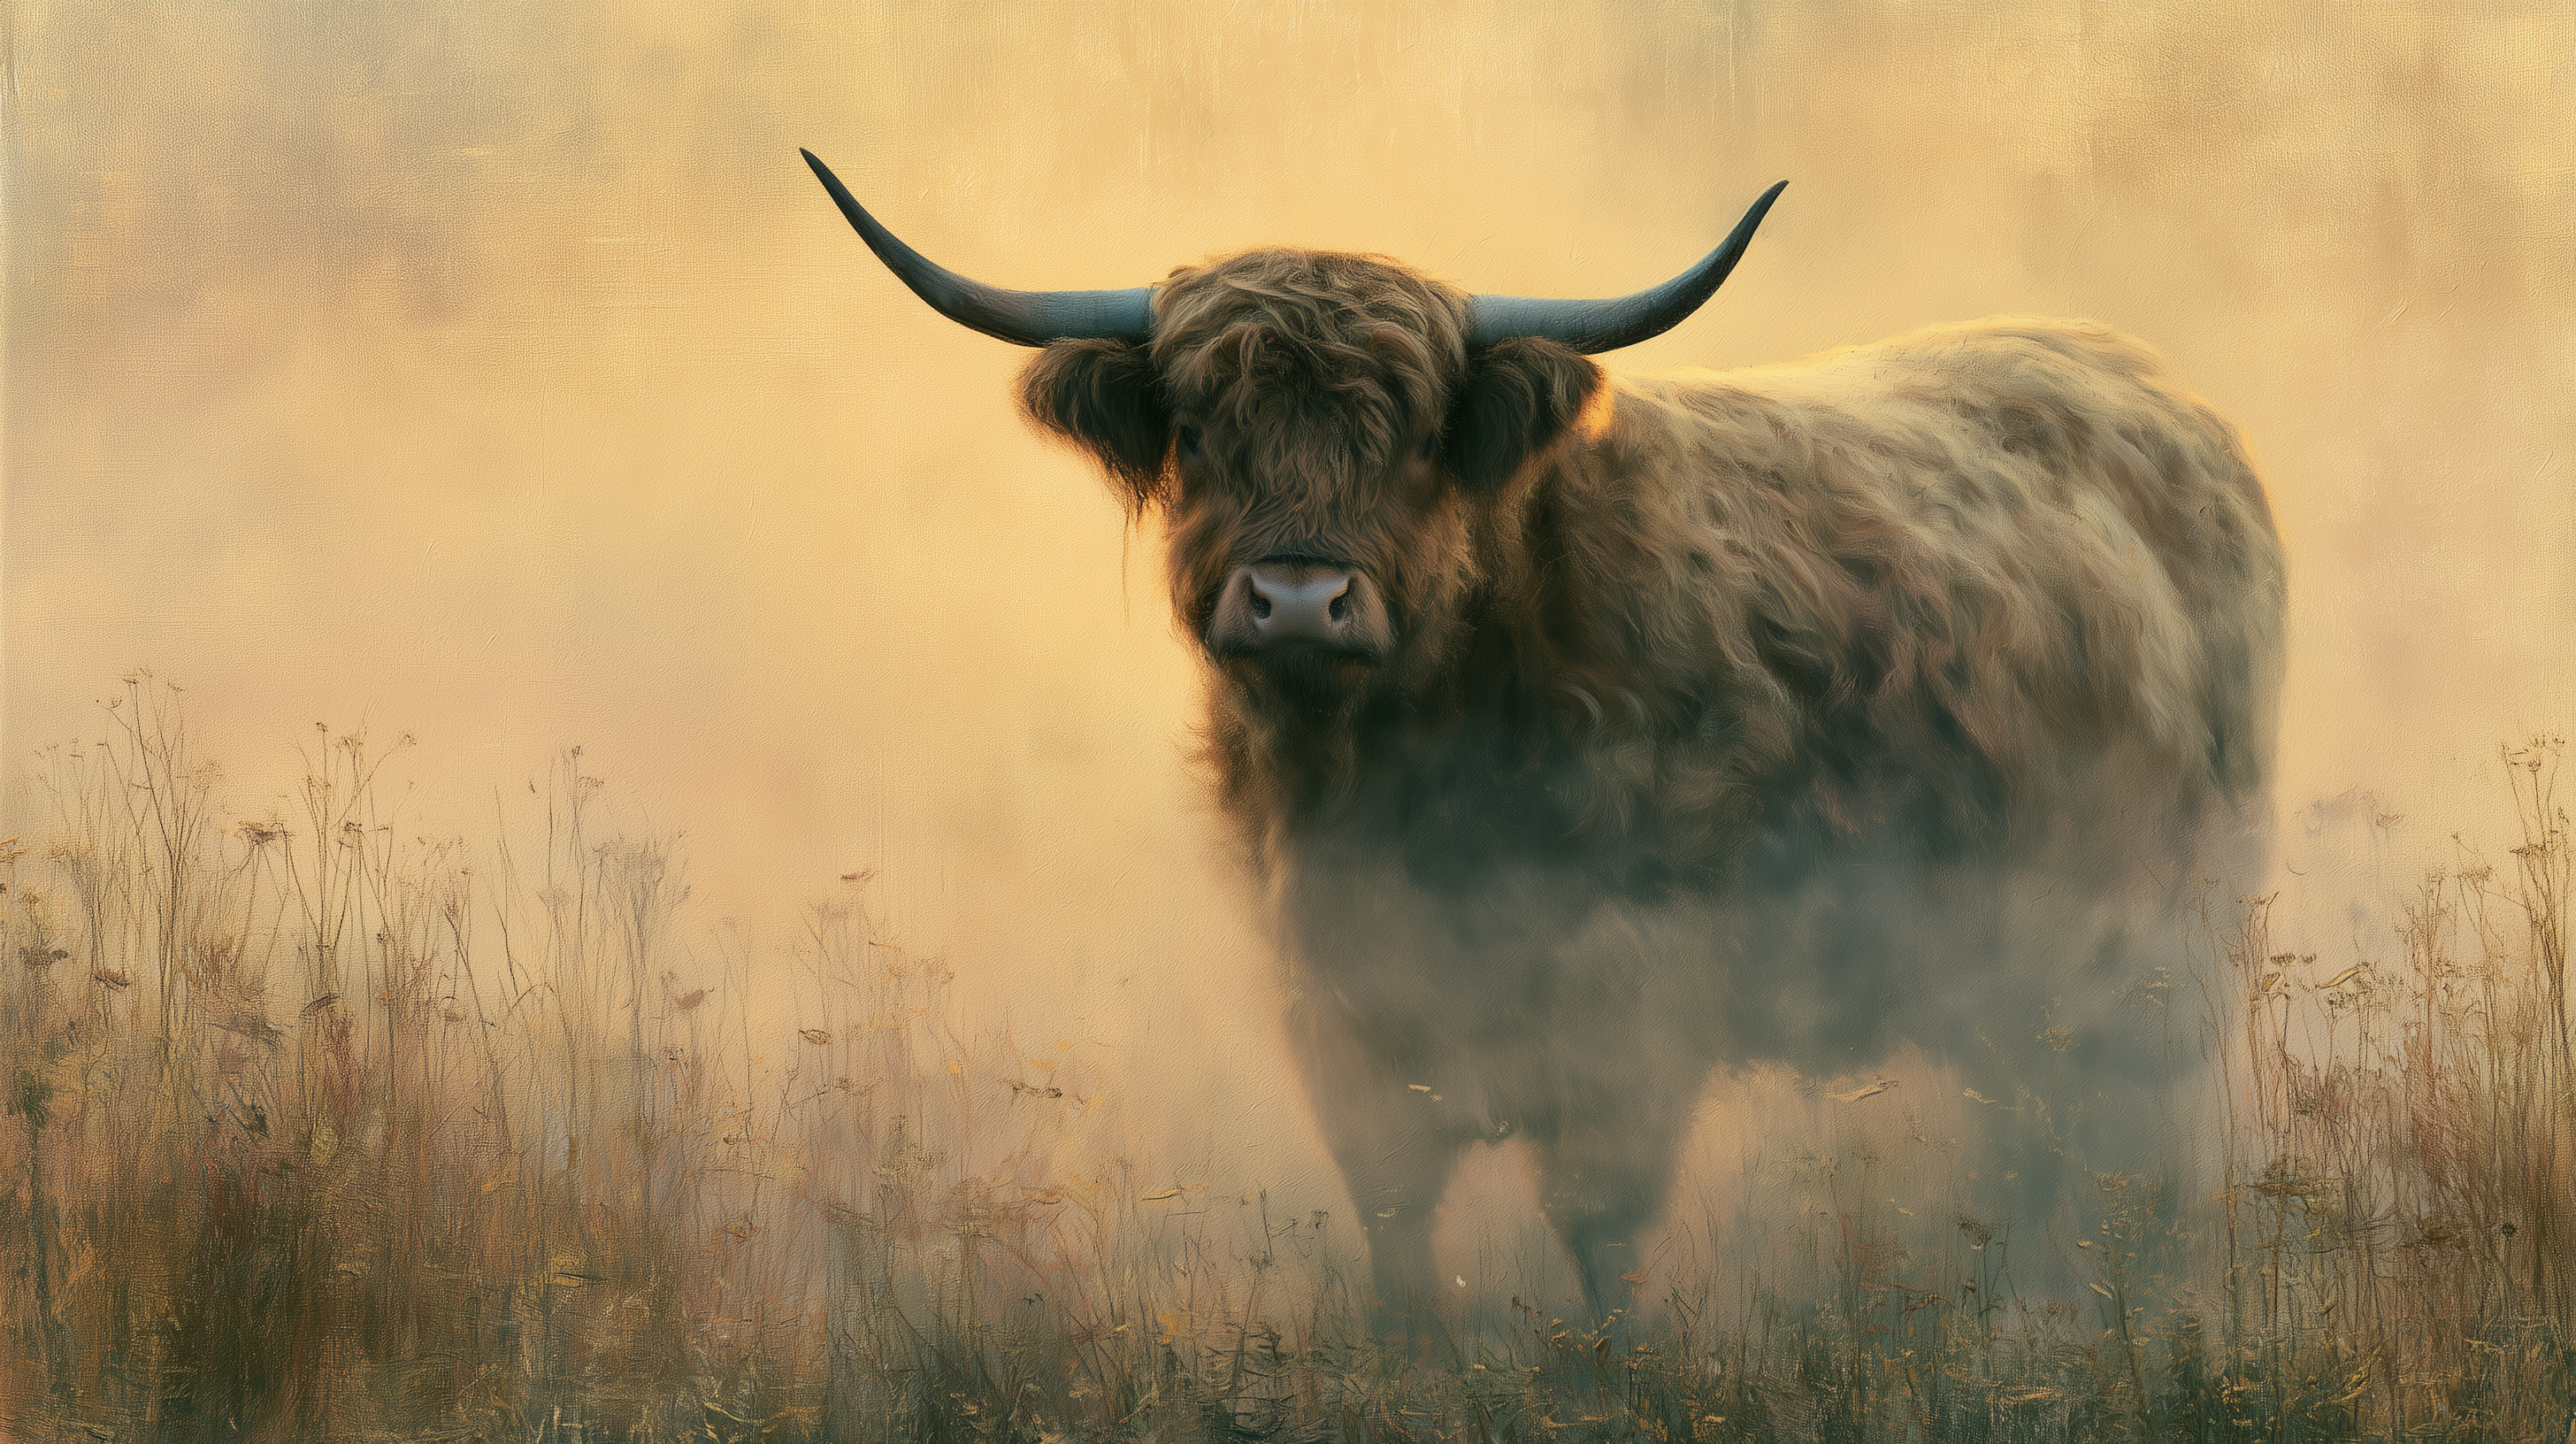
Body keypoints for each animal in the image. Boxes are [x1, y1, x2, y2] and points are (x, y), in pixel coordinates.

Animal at [802, 151, 2285, 1331]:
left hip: (2155, 947)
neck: (1396, 774)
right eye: (1206, 431)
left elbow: (1599, 1225)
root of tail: (2148, 393)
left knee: (2123, 1144)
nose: (1298, 598)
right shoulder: (1339, 991)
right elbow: (1396, 1217)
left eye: (1410, 435)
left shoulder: (1623, 988)